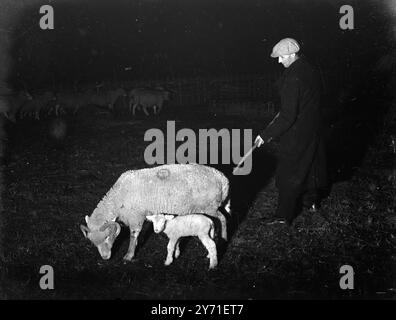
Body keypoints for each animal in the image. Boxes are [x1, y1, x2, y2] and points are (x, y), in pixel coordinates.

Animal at [80, 164, 229, 262]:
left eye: (106, 237)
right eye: (93, 242)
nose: (105, 258)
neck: (118, 198)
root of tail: (222, 178)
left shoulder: (136, 217)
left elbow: (133, 235)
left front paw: (129, 255)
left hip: (210, 206)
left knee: (223, 218)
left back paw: (224, 237)